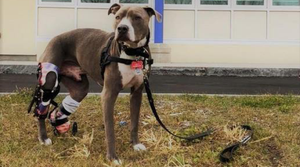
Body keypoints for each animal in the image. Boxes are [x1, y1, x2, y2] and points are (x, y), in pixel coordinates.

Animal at [36, 3, 162, 164]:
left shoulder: (137, 92)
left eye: (137, 17)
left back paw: (59, 125)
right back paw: (43, 138)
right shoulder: (108, 94)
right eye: (118, 17)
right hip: (49, 81)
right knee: (42, 110)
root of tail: (53, 39)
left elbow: (134, 122)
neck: (132, 53)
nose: (122, 28)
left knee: (59, 108)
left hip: (79, 88)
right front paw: (112, 157)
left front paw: (135, 145)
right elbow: (110, 129)